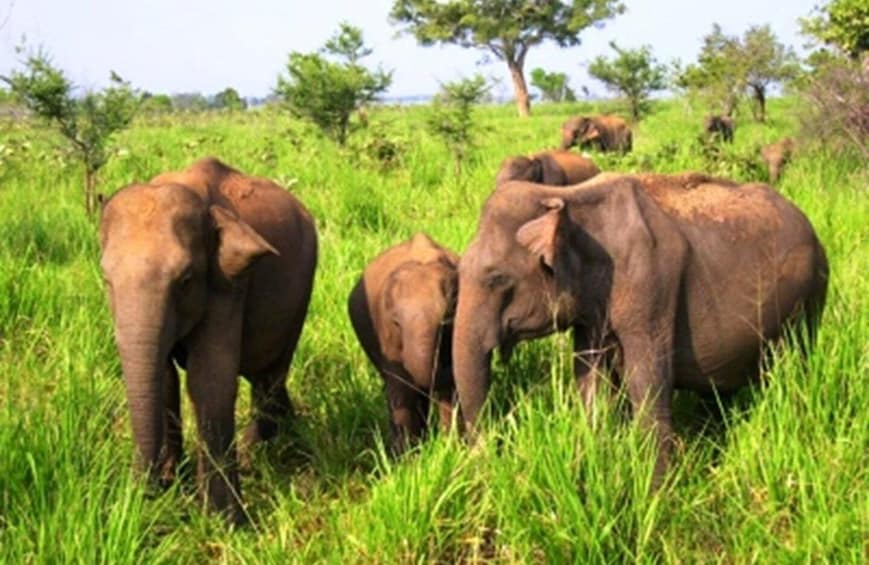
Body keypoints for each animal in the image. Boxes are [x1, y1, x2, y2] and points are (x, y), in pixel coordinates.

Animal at [99, 157, 317, 523]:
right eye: (106, 280)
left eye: (186, 280)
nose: (142, 495)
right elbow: (165, 379)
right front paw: (172, 485)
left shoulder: (227, 283)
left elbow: (209, 381)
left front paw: (222, 521)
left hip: (302, 290)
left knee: (270, 372)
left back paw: (255, 452)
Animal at [348, 233, 459, 453]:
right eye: (396, 322)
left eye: (446, 320)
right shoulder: (385, 333)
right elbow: (401, 387)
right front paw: (408, 457)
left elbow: (449, 392)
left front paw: (451, 449)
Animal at [452, 172, 828, 484]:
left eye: (496, 278)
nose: (487, 461)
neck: (568, 198)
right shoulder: (592, 306)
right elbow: (591, 380)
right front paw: (597, 461)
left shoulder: (650, 286)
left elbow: (646, 380)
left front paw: (655, 492)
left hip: (810, 296)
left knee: (795, 368)